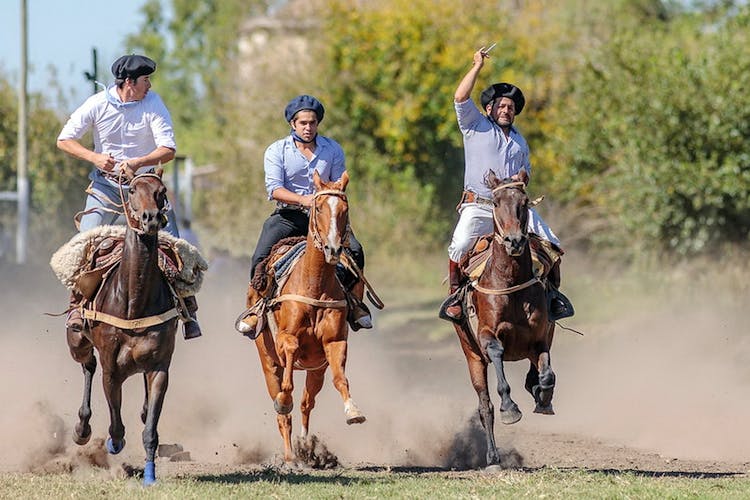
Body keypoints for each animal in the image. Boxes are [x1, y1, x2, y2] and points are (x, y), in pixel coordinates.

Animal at [65, 170, 180, 486]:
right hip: (77, 342)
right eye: (130, 190)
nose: (150, 218)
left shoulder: (160, 367)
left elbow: (150, 429)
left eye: (162, 191)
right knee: (88, 365)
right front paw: (112, 443)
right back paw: (82, 430)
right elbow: (116, 425)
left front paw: (150, 476)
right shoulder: (111, 369)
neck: (134, 304)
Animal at [254, 170, 368, 462]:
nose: (333, 249)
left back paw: (306, 447)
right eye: (318, 208)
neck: (313, 282)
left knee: (307, 402)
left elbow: (341, 379)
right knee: (283, 411)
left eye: (344, 209)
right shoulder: (285, 339)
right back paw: (289, 455)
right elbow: (289, 365)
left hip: (317, 369)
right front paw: (284, 400)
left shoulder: (334, 343)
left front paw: (353, 411)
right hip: (267, 361)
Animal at [452, 170, 560, 466]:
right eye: (497, 202)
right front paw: (510, 408)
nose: (514, 241)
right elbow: (497, 352)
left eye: (523, 202)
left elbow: (547, 375)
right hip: (472, 356)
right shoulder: (487, 336)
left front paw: (543, 397)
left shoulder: (539, 338)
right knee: (485, 407)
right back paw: (492, 456)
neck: (509, 281)